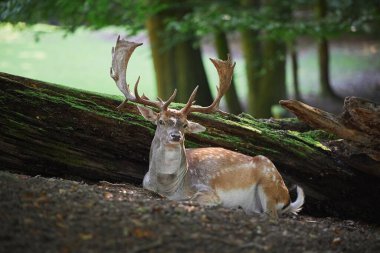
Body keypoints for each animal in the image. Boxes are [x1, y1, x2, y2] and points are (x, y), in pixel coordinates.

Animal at [110, 36, 302, 219]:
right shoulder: (145, 185)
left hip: (269, 183)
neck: (168, 187)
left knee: (272, 214)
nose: (176, 136)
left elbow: (192, 199)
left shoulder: (208, 190)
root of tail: (287, 196)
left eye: (185, 125)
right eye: (160, 121)